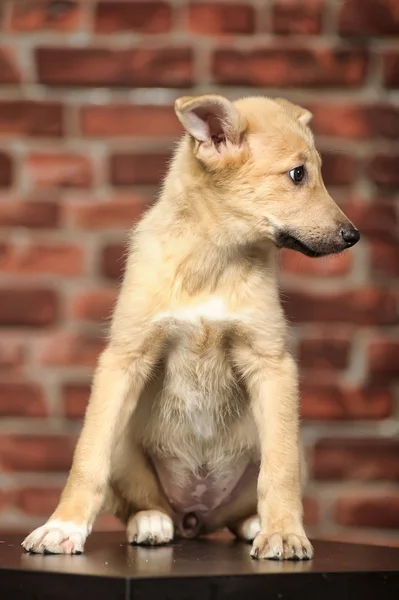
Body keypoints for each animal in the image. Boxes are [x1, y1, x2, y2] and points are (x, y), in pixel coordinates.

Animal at [21, 94, 360, 556]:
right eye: (297, 174)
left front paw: (284, 531)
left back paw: (255, 523)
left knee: (248, 499)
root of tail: (195, 518)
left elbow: (280, 469)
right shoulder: (123, 359)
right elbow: (88, 457)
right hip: (127, 448)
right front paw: (63, 526)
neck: (212, 260)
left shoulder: (271, 363)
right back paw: (150, 522)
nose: (353, 235)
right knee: (139, 500)